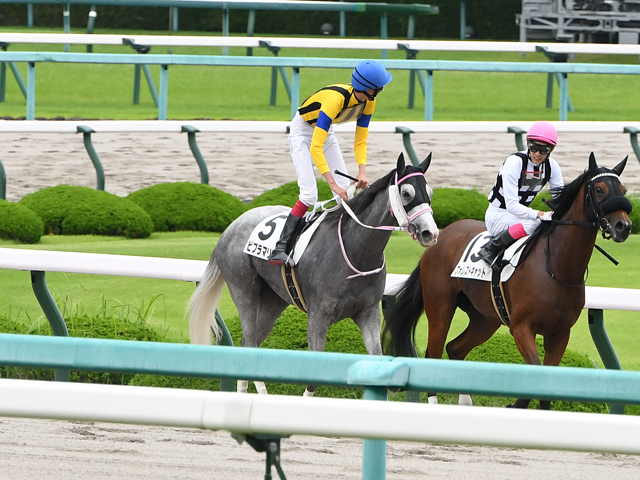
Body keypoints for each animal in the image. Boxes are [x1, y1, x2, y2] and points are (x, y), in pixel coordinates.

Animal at [188, 153, 439, 396]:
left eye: (430, 192)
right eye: (406, 193)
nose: (431, 233)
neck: (356, 251)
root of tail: (230, 227)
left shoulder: (368, 312)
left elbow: (376, 360)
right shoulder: (319, 316)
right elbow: (312, 379)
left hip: (273, 300)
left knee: (249, 343)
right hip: (243, 289)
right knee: (249, 342)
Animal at [382, 153, 633, 409]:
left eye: (623, 189)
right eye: (600, 189)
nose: (623, 226)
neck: (557, 267)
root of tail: (439, 237)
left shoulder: (560, 333)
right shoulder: (521, 327)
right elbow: (534, 373)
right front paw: (514, 404)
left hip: (485, 319)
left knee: (455, 348)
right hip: (440, 309)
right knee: (433, 353)